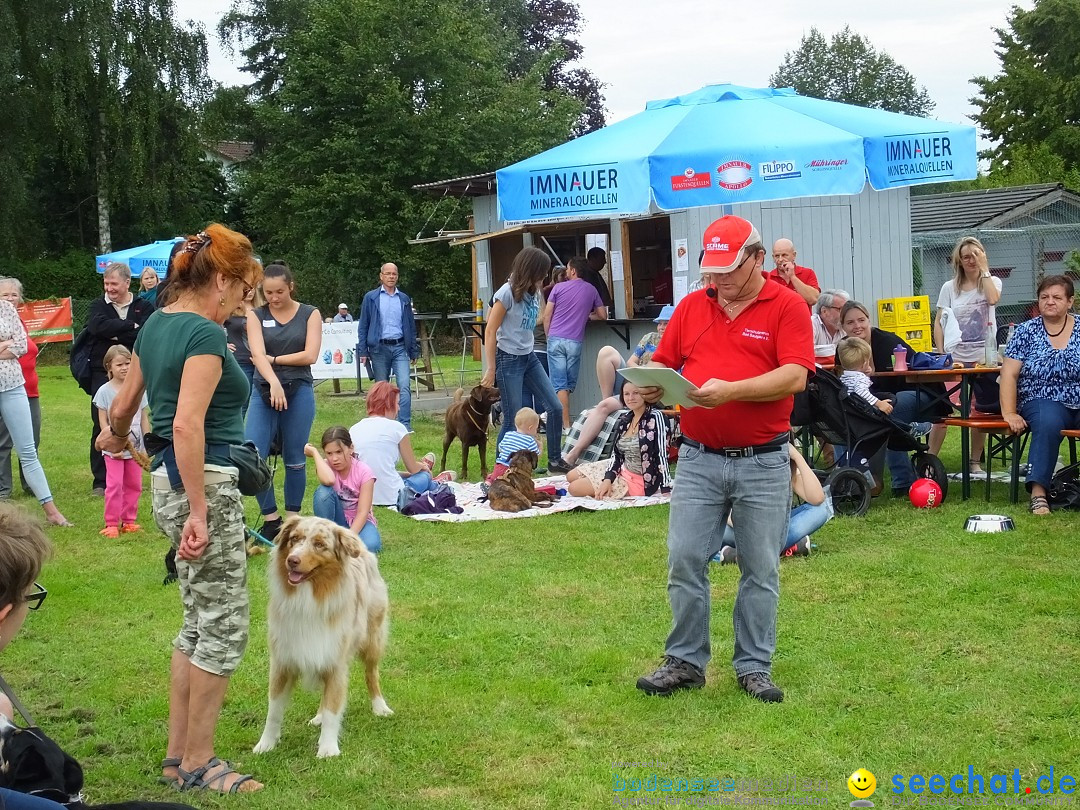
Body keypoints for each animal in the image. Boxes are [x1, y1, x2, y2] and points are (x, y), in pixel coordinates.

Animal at [252, 516, 393, 760]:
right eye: (294, 539)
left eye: (319, 545)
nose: (292, 560)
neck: (308, 599)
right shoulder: (283, 661)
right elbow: (274, 710)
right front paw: (266, 744)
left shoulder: (336, 662)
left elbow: (332, 708)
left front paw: (328, 749)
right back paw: (317, 717)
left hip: (372, 638)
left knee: (371, 674)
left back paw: (379, 707)